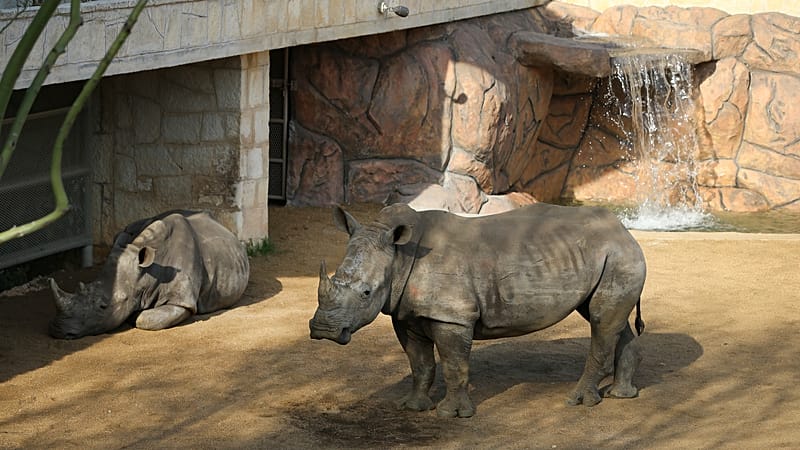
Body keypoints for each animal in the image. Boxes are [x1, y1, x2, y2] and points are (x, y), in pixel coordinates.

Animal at [49, 210, 250, 339]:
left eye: (103, 306)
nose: (59, 329)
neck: (148, 273)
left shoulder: (182, 301)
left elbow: (147, 318)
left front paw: (135, 314)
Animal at [309, 203, 646, 417]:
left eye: (366, 293)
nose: (324, 330)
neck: (399, 256)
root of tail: (624, 229)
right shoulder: (405, 314)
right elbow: (419, 364)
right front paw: (413, 407)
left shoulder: (453, 316)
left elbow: (454, 365)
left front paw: (452, 415)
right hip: (608, 256)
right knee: (609, 321)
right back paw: (621, 394)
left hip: (618, 256)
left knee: (601, 321)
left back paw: (579, 401)